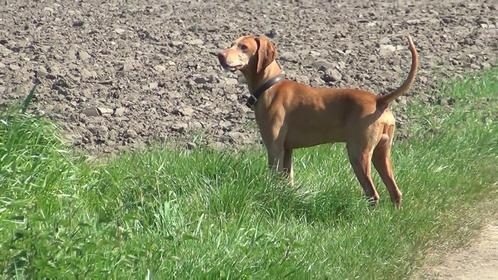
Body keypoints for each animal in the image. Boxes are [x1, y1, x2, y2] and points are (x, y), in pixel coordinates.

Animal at [217, 34, 416, 208]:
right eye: (232, 43)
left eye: (244, 47)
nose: (219, 55)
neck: (270, 86)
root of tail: (379, 100)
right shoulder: (287, 150)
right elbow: (287, 180)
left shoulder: (274, 148)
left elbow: (273, 178)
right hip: (381, 154)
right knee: (395, 192)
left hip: (358, 155)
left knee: (373, 194)